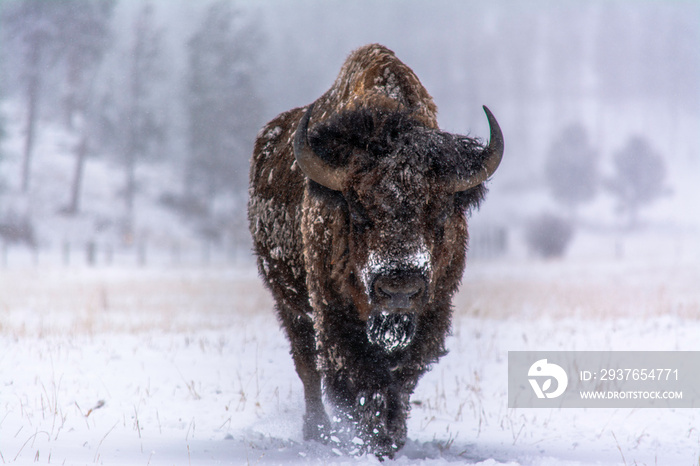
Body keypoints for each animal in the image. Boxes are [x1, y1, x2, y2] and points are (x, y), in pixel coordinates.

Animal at [249, 41, 500, 456]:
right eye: (356, 210)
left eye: (441, 210)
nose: (399, 288)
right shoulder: (332, 313)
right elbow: (356, 378)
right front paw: (368, 438)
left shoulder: (432, 312)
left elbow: (400, 379)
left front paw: (390, 438)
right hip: (289, 304)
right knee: (307, 366)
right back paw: (317, 430)